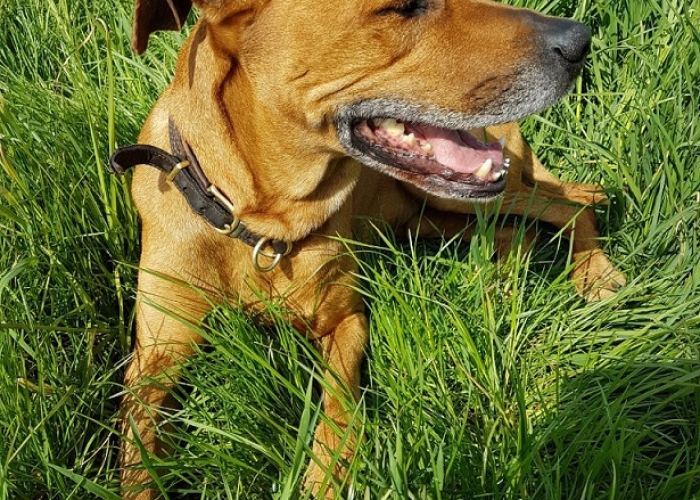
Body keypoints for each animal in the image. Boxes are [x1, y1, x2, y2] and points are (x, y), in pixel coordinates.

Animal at [112, 1, 628, 498]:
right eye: (402, 7)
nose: (579, 41)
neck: (257, 223)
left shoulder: (346, 321)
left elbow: (337, 409)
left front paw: (324, 479)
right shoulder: (154, 359)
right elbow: (136, 458)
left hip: (458, 196)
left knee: (575, 201)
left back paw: (595, 276)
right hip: (429, 216)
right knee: (519, 232)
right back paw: (501, 282)